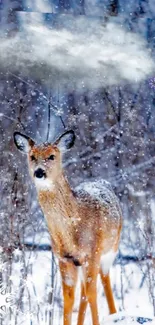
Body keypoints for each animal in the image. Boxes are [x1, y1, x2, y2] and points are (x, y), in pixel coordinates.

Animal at [13, 129, 122, 324]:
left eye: (52, 156)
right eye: (32, 156)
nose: (39, 172)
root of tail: (103, 182)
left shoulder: (92, 252)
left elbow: (92, 293)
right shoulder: (64, 258)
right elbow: (68, 298)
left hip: (111, 248)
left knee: (102, 280)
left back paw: (114, 313)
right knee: (84, 291)